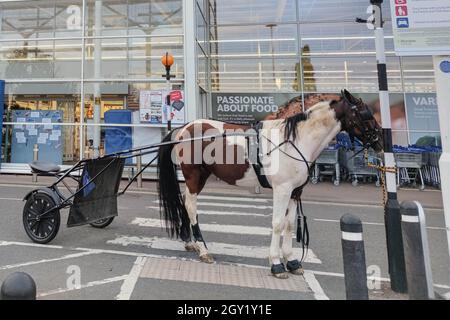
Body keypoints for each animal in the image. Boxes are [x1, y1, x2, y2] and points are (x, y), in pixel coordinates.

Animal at [156, 89, 382, 278]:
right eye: (365, 114)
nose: (380, 141)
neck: (293, 141)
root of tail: (184, 128)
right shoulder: (281, 190)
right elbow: (277, 224)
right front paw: (276, 263)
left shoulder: (295, 191)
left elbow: (289, 224)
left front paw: (292, 261)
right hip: (193, 176)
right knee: (191, 206)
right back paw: (203, 249)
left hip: (200, 177)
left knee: (185, 202)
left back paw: (190, 242)